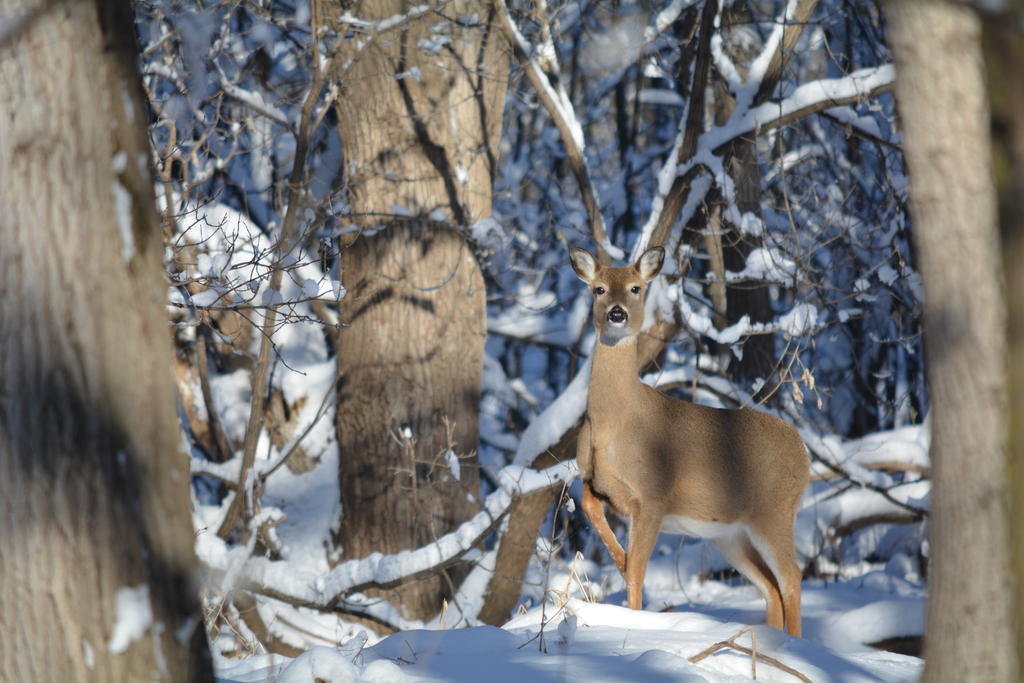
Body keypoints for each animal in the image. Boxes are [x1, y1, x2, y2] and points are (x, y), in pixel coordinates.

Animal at [569, 245, 810, 637]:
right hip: (729, 534)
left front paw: (634, 620)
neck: (613, 423)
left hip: (775, 511)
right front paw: (618, 557)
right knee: (770, 587)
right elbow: (596, 515)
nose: (617, 313)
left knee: (791, 577)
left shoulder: (654, 493)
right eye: (599, 289)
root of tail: (803, 451)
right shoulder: (596, 481)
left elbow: (637, 573)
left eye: (636, 288)